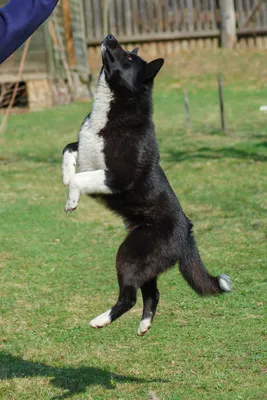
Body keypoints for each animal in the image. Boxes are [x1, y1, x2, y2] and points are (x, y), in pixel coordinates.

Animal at [61, 34, 231, 336]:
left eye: (129, 56)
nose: (110, 36)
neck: (115, 109)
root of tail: (187, 231)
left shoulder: (117, 176)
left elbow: (80, 178)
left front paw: (72, 199)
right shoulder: (85, 150)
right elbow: (68, 150)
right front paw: (66, 178)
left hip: (130, 256)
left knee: (129, 297)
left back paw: (101, 320)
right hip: (145, 261)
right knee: (152, 293)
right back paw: (144, 324)